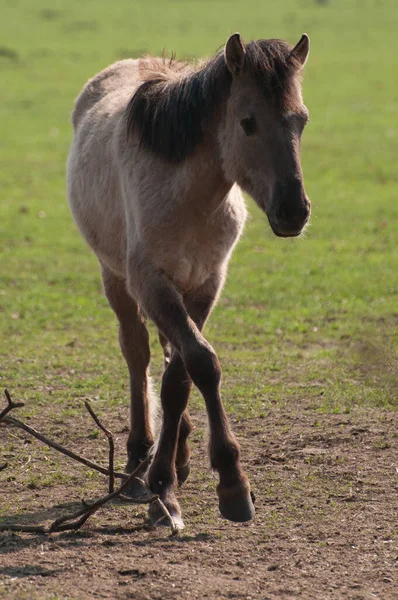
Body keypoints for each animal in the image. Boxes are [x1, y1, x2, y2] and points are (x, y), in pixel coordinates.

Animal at [67, 32, 310, 528]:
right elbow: (200, 363)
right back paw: (137, 460)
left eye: (301, 120)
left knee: (163, 358)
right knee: (136, 353)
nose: (294, 211)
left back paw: (174, 456)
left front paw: (176, 479)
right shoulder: (151, 284)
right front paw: (209, 484)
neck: (191, 197)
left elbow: (180, 376)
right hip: (116, 279)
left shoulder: (203, 287)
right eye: (247, 122)